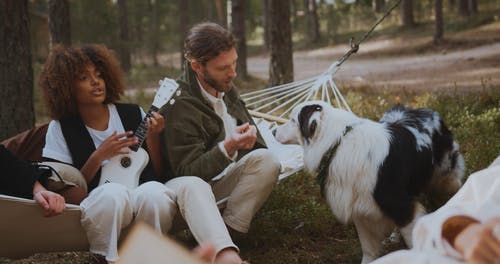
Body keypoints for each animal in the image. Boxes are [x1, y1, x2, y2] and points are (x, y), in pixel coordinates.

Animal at [274, 100, 464, 262]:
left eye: (292, 120)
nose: (274, 131)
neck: (337, 142)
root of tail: (424, 110)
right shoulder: (360, 207)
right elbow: (368, 249)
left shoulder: (397, 201)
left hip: (447, 178)